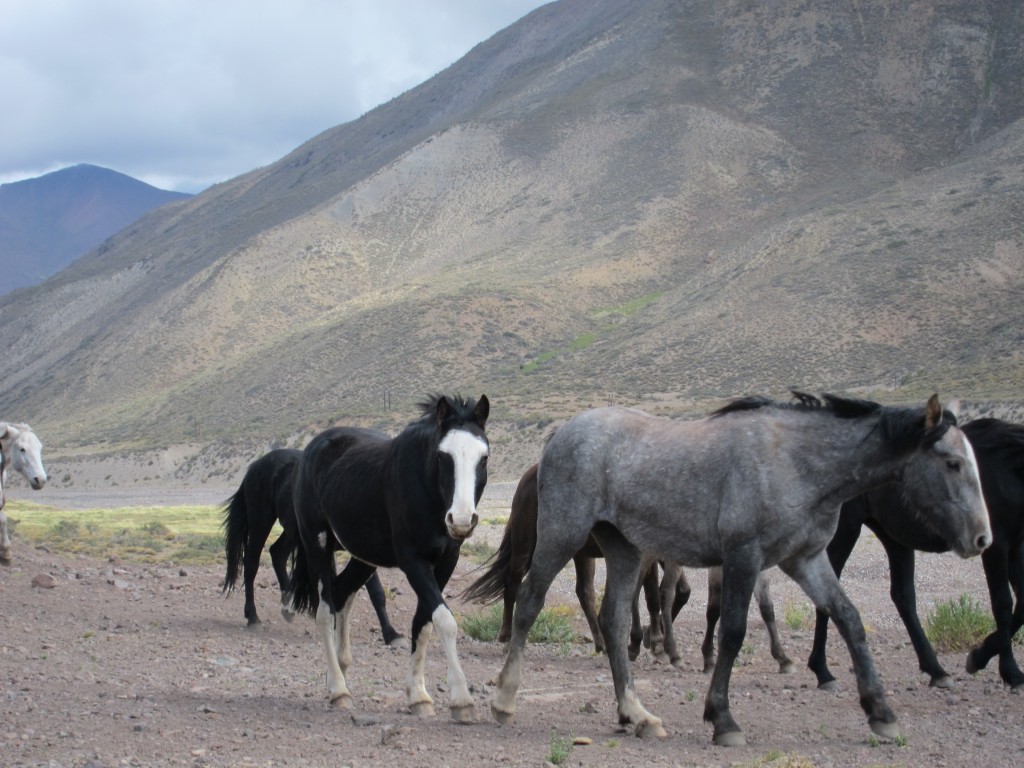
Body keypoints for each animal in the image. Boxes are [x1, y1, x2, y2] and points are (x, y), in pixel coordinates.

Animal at [220, 444, 403, 651]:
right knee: (251, 564)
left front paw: (391, 634)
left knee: (277, 553)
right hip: (261, 521)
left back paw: (289, 604)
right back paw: (253, 616)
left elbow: (376, 593)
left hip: (291, 531)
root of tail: (256, 465)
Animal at [282, 397, 485, 720]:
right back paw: (338, 690)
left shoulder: (445, 562)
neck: (426, 488)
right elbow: (444, 621)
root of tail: (313, 449)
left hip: (364, 557)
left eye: (483, 457)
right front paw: (461, 699)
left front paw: (418, 696)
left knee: (342, 593)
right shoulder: (413, 562)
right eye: (443, 456)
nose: (462, 519)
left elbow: (424, 622)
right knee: (325, 610)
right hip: (318, 547)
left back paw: (339, 672)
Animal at [491, 391, 987, 745]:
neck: (797, 462)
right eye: (952, 462)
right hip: (562, 536)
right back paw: (504, 699)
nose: (982, 538)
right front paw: (722, 718)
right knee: (530, 601)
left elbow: (849, 619)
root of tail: (559, 435)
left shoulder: (804, 560)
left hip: (624, 549)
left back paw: (637, 715)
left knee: (613, 621)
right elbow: (732, 632)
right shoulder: (744, 557)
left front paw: (880, 712)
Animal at [806, 417, 1024, 696]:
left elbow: (1022, 603)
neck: (1008, 467)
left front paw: (980, 656)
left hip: (894, 536)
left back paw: (936, 670)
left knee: (903, 597)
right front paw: (1008, 670)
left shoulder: (1016, 545)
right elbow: (1003, 605)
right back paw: (823, 671)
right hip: (848, 528)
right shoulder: (996, 547)